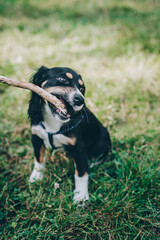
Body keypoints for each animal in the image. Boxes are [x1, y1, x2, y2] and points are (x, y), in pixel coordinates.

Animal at [27, 65, 111, 202]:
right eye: (63, 79)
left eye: (82, 88)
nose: (80, 100)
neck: (54, 122)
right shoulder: (36, 137)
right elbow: (39, 159)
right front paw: (36, 177)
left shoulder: (79, 148)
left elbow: (81, 173)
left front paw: (81, 197)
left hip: (101, 143)